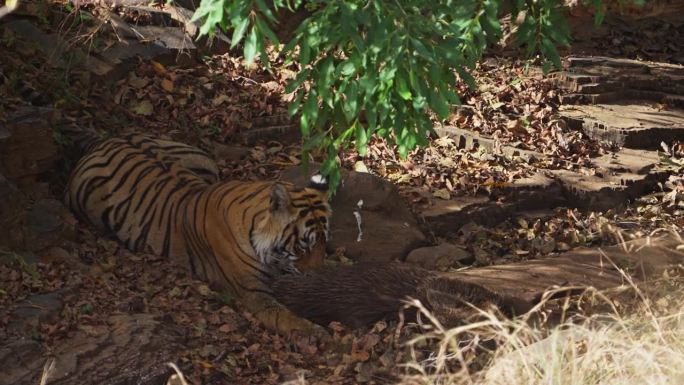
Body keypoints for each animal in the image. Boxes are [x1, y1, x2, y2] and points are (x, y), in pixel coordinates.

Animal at [64, 133, 332, 336]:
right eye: (303, 246)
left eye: (323, 243)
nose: (319, 278)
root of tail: (106, 139)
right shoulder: (255, 293)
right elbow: (287, 318)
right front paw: (317, 335)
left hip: (202, 161)